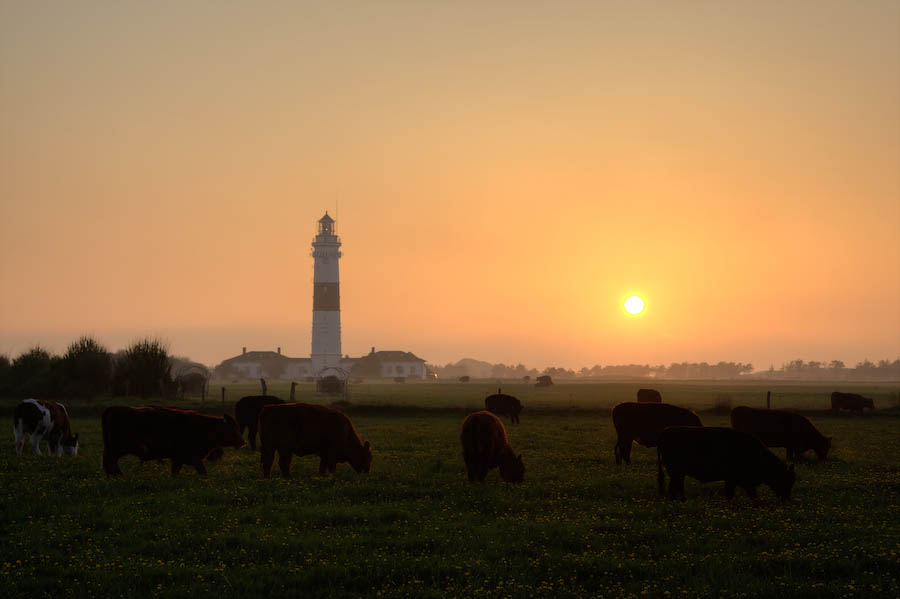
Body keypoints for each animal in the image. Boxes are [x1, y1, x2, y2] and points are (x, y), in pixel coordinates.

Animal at [101, 408, 244, 478]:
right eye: (232, 428)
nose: (242, 441)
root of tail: (112, 410)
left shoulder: (178, 459)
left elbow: (175, 472)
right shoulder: (191, 457)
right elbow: (202, 471)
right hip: (116, 449)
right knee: (111, 462)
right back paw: (119, 477)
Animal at [652, 426, 796, 502]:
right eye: (786, 479)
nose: (787, 499)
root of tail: (665, 431)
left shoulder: (742, 481)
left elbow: (752, 493)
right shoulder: (731, 480)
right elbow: (731, 494)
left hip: (678, 472)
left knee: (678, 485)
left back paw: (682, 500)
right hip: (675, 471)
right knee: (673, 487)